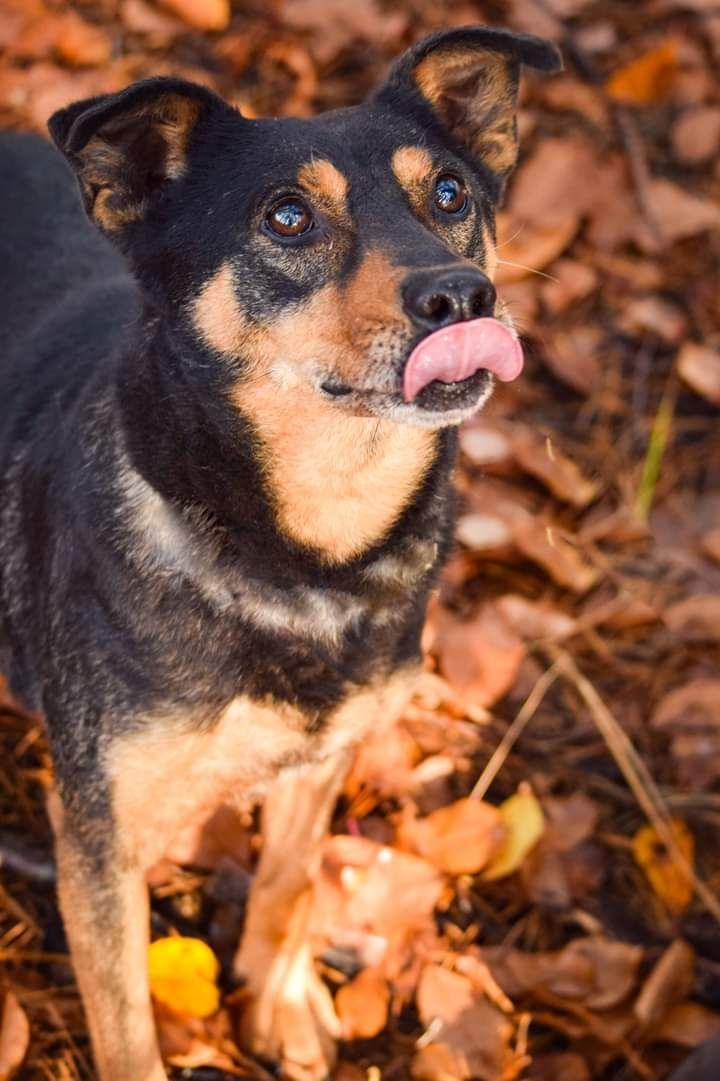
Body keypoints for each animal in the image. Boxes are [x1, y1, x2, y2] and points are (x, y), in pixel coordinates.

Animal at [0, 29, 562, 1081]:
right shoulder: (99, 830)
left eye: (451, 193)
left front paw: (280, 1001)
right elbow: (125, 1021)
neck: (302, 549)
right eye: (288, 217)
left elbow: (292, 876)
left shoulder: (328, 749)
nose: (463, 294)